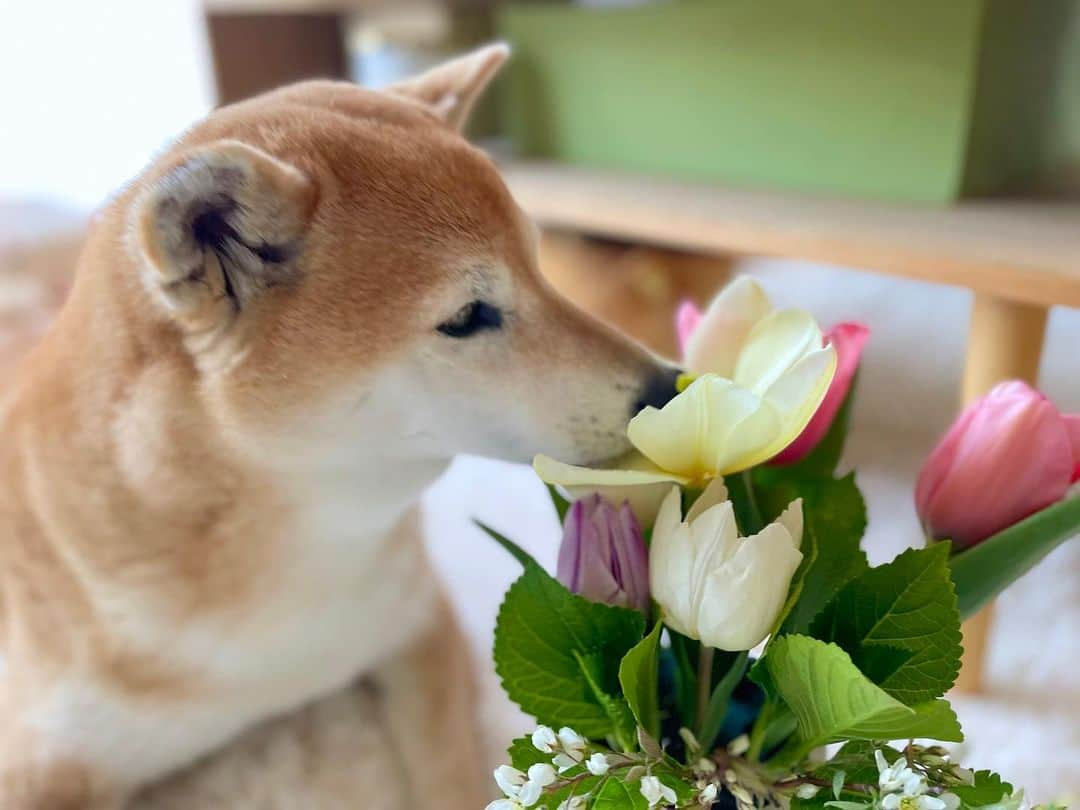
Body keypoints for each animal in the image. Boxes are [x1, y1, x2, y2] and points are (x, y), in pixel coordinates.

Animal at [0, 45, 673, 810]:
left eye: (540, 268)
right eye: (467, 316)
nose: (667, 387)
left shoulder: (417, 628)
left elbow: (448, 772)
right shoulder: (37, 767)